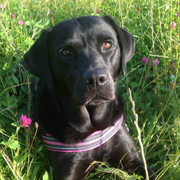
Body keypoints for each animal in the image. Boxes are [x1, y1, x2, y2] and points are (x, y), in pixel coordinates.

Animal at [22, 16, 155, 179]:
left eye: (107, 44)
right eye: (65, 52)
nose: (96, 78)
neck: (93, 126)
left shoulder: (134, 160)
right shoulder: (69, 170)